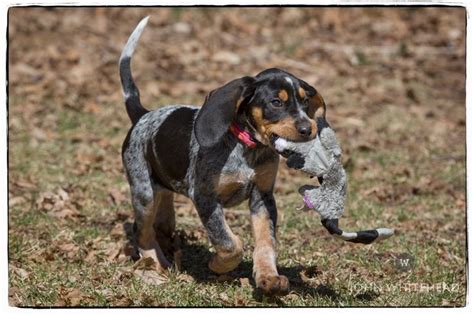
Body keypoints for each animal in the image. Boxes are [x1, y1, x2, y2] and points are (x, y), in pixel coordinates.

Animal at [119, 18, 326, 298]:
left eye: (305, 102)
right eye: (276, 102)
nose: (308, 128)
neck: (246, 148)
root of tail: (142, 115)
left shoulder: (263, 197)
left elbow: (266, 242)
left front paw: (268, 278)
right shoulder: (205, 196)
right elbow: (229, 242)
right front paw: (218, 265)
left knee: (161, 210)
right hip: (143, 192)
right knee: (140, 230)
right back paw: (154, 262)